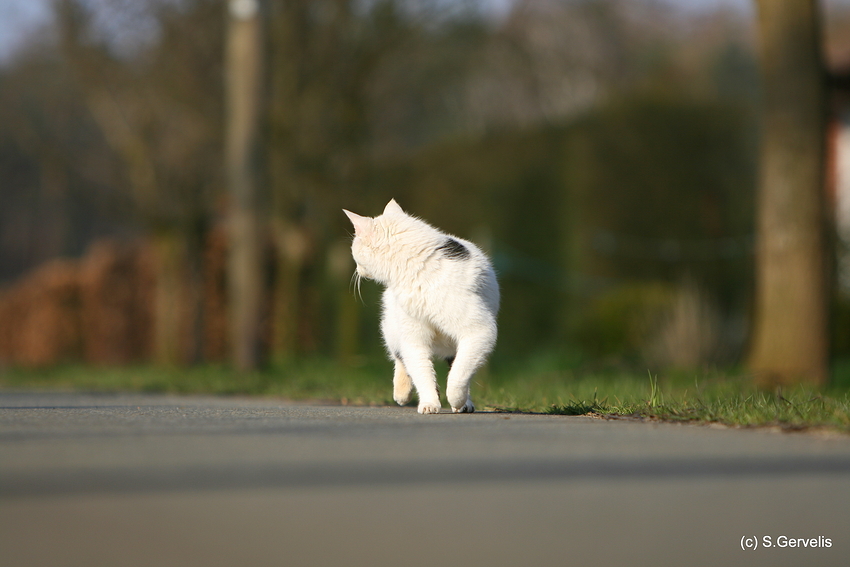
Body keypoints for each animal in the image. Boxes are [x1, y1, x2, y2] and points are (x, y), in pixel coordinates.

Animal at [342, 202, 496, 414]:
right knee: (400, 357)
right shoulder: (414, 338)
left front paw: (457, 400)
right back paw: (402, 393)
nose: (356, 269)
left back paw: (464, 402)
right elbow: (421, 372)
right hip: (392, 327)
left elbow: (459, 374)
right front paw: (429, 403)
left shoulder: (479, 331)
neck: (416, 267)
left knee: (456, 364)